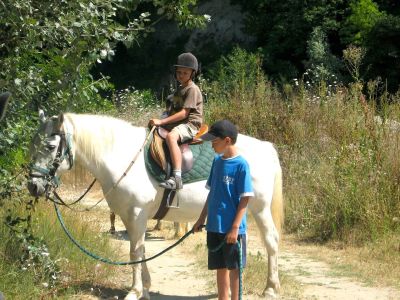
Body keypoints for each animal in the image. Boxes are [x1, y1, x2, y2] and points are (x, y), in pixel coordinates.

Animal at [27, 112, 284, 300]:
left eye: (50, 146)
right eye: (33, 143)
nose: (33, 185)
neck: (121, 155)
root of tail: (266, 147)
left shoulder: (137, 214)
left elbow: (135, 251)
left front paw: (135, 291)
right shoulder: (128, 216)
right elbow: (138, 251)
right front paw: (146, 288)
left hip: (260, 209)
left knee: (271, 241)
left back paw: (271, 287)